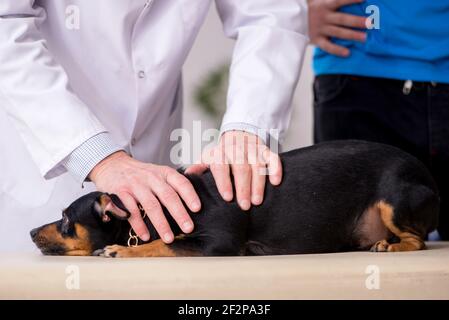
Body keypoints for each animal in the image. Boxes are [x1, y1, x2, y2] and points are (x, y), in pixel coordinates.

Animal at [29, 140, 440, 258]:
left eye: (65, 221)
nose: (31, 232)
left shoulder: (218, 244)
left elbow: (165, 244)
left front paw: (122, 250)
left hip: (394, 199)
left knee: (418, 240)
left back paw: (392, 246)